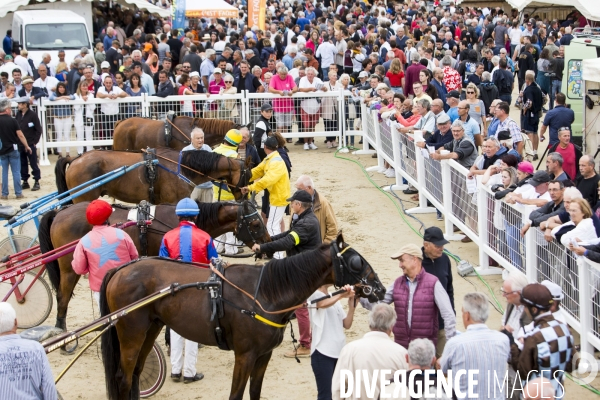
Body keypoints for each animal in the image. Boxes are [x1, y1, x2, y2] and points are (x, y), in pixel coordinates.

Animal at [38, 199, 270, 332]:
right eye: (255, 223)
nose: (266, 245)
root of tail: (60, 211)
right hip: (69, 268)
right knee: (63, 295)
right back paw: (60, 328)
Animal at [98, 234, 384, 400]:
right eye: (357, 262)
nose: (379, 288)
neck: (265, 293)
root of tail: (122, 269)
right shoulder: (245, 355)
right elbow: (236, 395)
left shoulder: (263, 355)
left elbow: (255, 392)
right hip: (131, 333)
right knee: (124, 378)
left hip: (151, 328)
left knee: (135, 375)